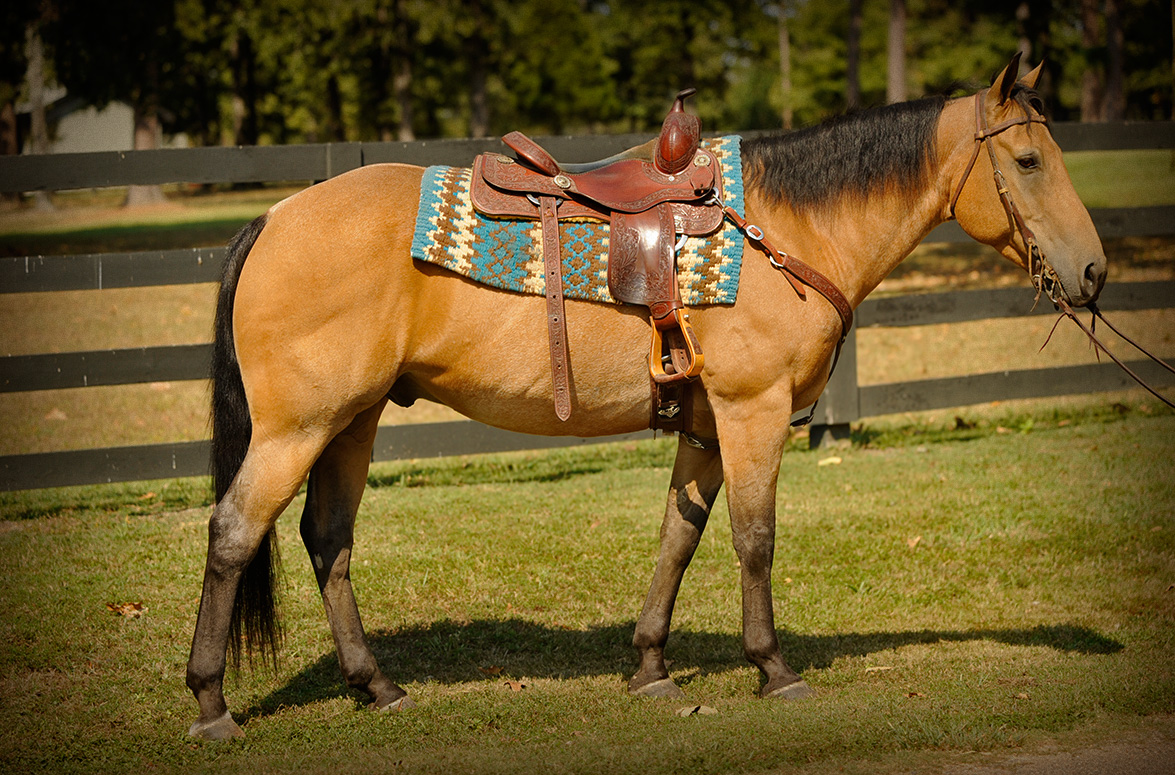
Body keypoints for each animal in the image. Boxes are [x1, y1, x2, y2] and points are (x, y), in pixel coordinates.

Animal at [188, 56, 1104, 737]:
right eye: (1028, 162)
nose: (1092, 271)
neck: (786, 229)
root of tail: (272, 218)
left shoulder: (702, 426)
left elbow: (678, 538)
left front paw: (651, 667)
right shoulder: (751, 411)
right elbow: (753, 538)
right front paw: (772, 667)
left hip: (353, 420)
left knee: (326, 540)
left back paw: (374, 685)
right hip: (298, 428)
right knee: (235, 532)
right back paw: (211, 702)